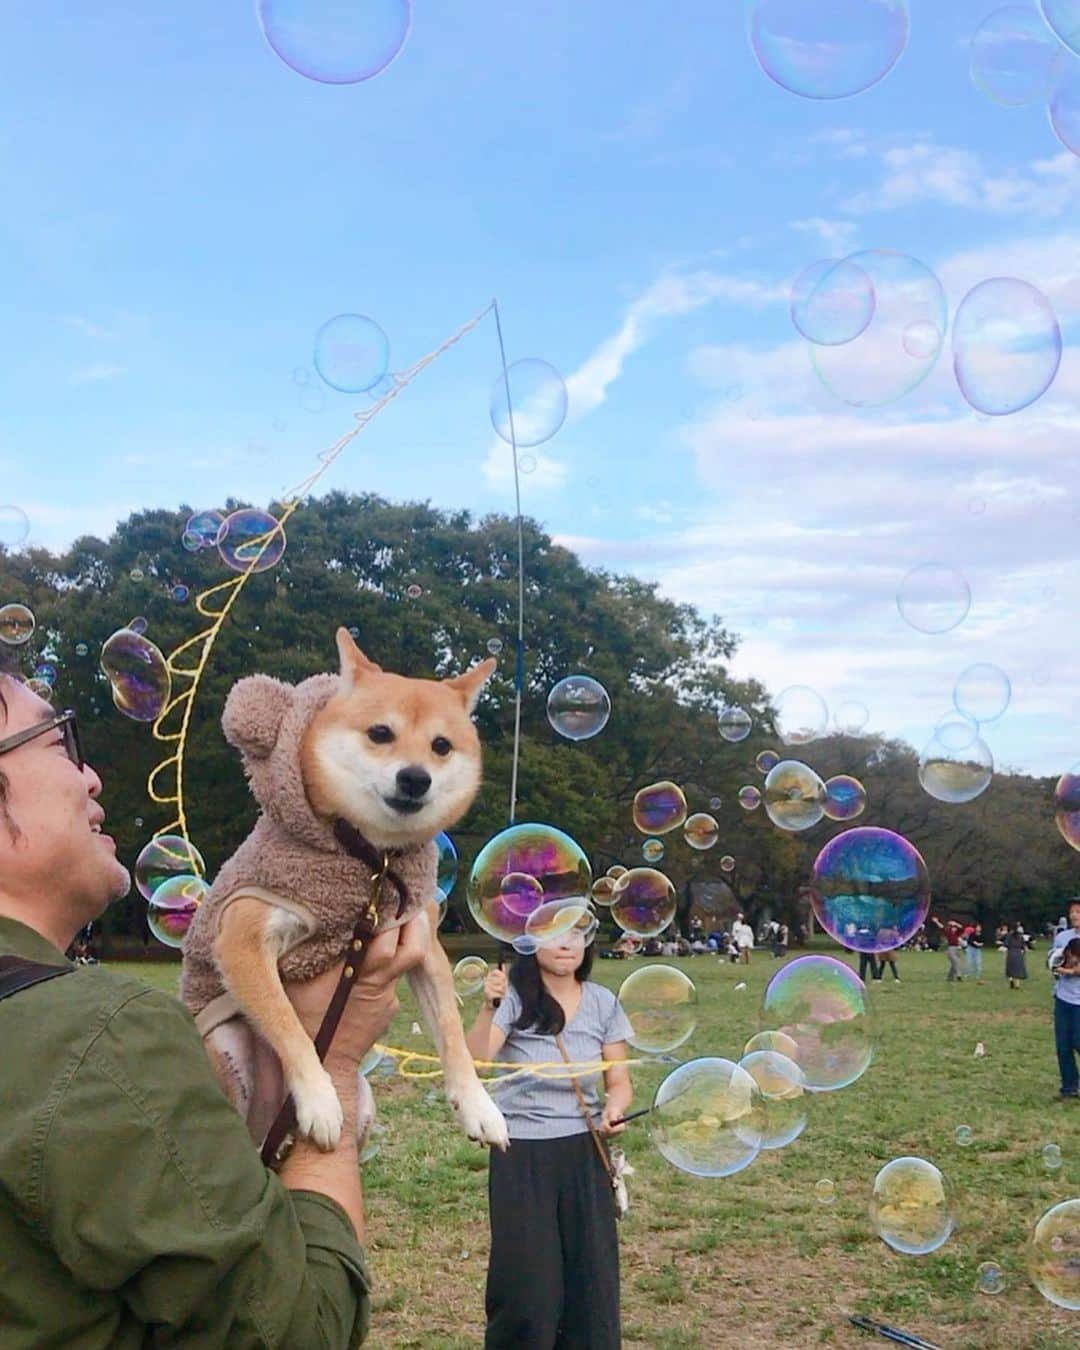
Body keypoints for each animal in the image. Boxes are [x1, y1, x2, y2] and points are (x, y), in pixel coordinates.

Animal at [180, 629, 510, 1150]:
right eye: (380, 734)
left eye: (441, 746)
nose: (415, 777)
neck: (371, 859)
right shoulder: (242, 939)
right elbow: (287, 1024)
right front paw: (318, 1098)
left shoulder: (424, 945)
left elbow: (452, 1034)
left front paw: (479, 1106)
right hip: (224, 1047)